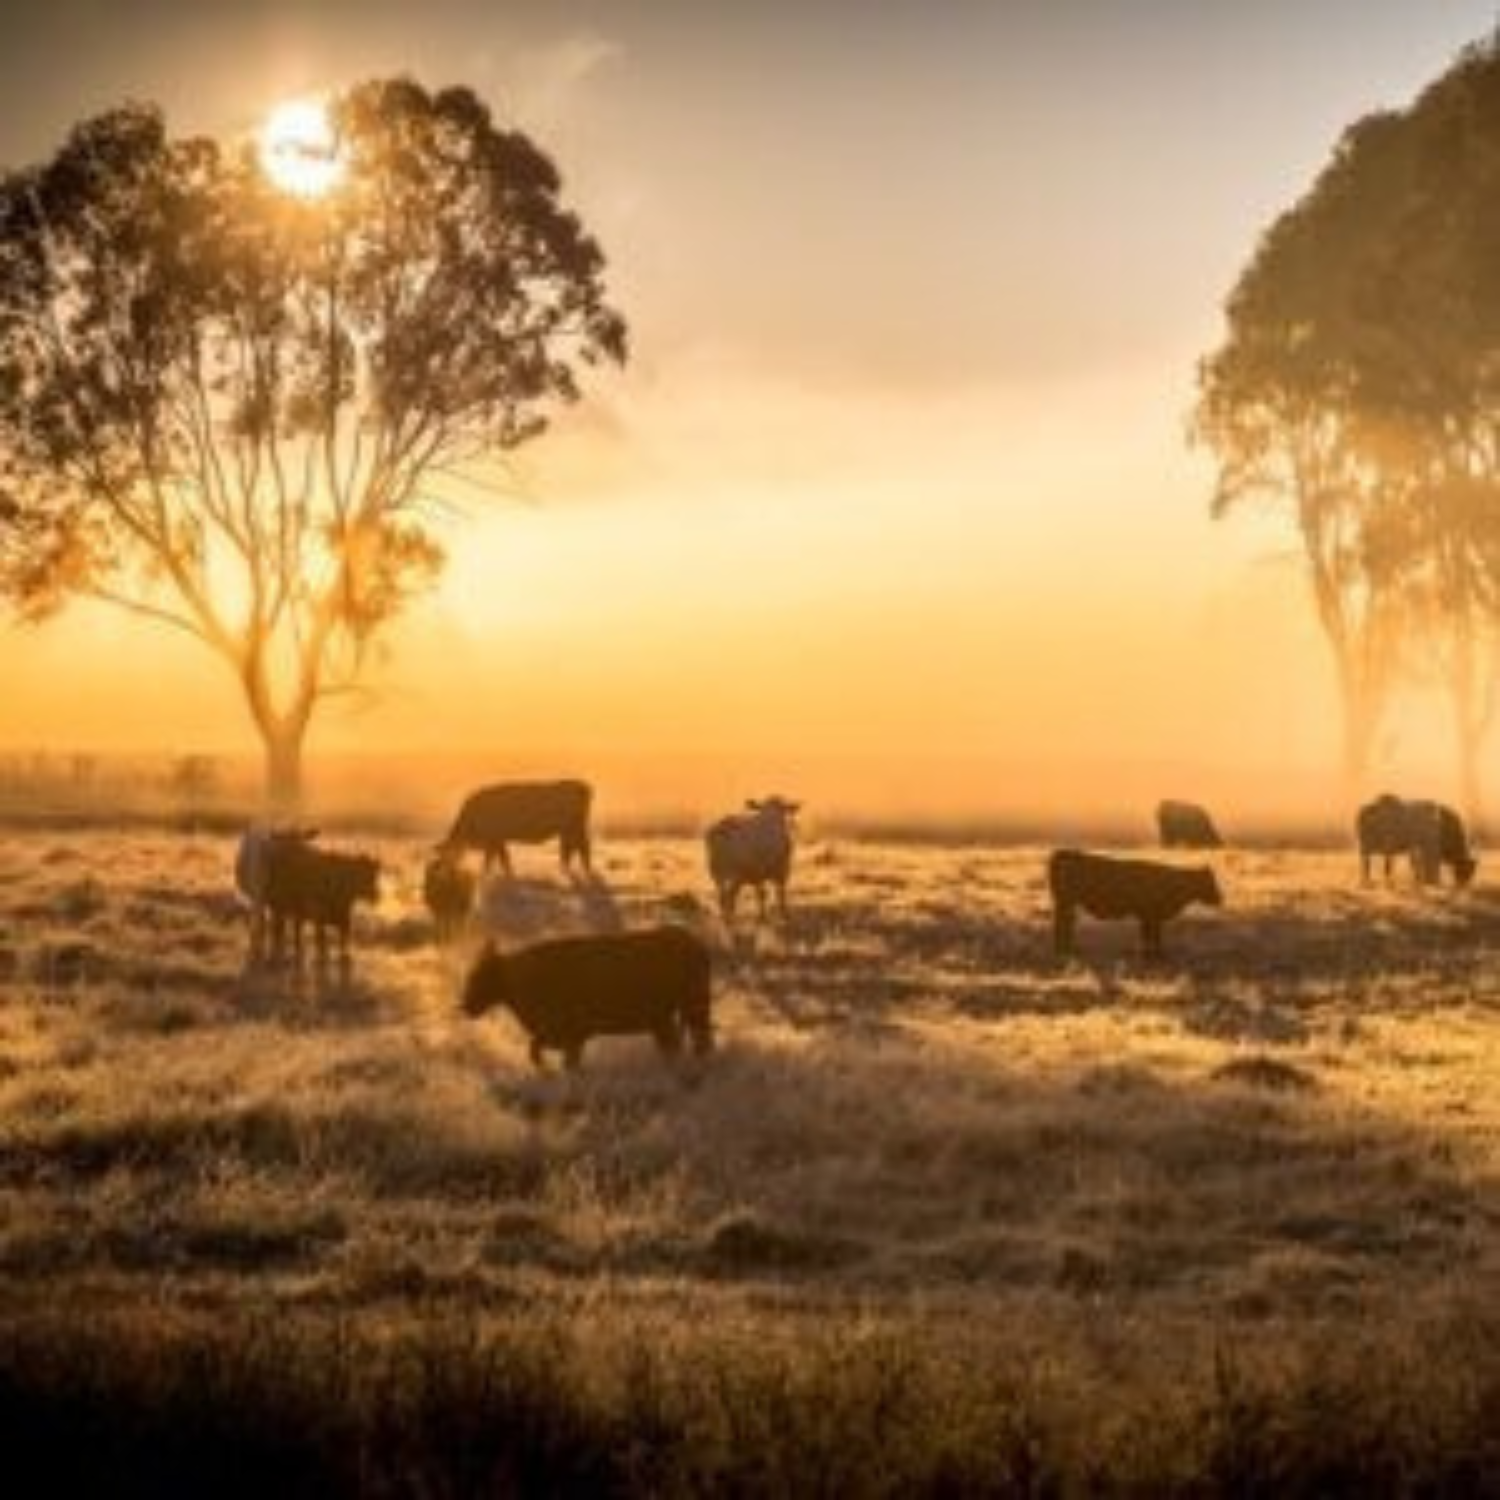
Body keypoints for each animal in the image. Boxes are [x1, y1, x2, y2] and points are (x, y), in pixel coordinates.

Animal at [442, 780, 593, 877]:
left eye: (446, 855)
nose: (448, 872)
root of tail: (582, 785)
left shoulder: (493, 839)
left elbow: (493, 858)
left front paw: (486, 873)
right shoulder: (499, 839)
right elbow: (503, 857)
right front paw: (508, 874)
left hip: (574, 827)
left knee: (581, 848)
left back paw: (579, 870)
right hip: (570, 829)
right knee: (571, 849)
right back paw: (567, 870)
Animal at [461, 926, 713, 1071]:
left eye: (480, 975)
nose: (465, 1005)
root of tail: (698, 946)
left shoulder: (571, 1034)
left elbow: (543, 1055)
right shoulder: (565, 1037)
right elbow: (539, 1052)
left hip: (692, 1008)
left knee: (700, 1042)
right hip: (663, 1020)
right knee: (677, 1046)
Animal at [1048, 849, 1222, 960]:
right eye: (1210, 882)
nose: (1220, 898)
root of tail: (1064, 853)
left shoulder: (1149, 917)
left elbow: (1151, 935)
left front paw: (1153, 954)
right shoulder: (1150, 915)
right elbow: (1152, 936)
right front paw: (1155, 956)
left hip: (1066, 903)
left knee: (1065, 923)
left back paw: (1066, 949)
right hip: (1066, 901)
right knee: (1063, 923)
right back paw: (1065, 950)